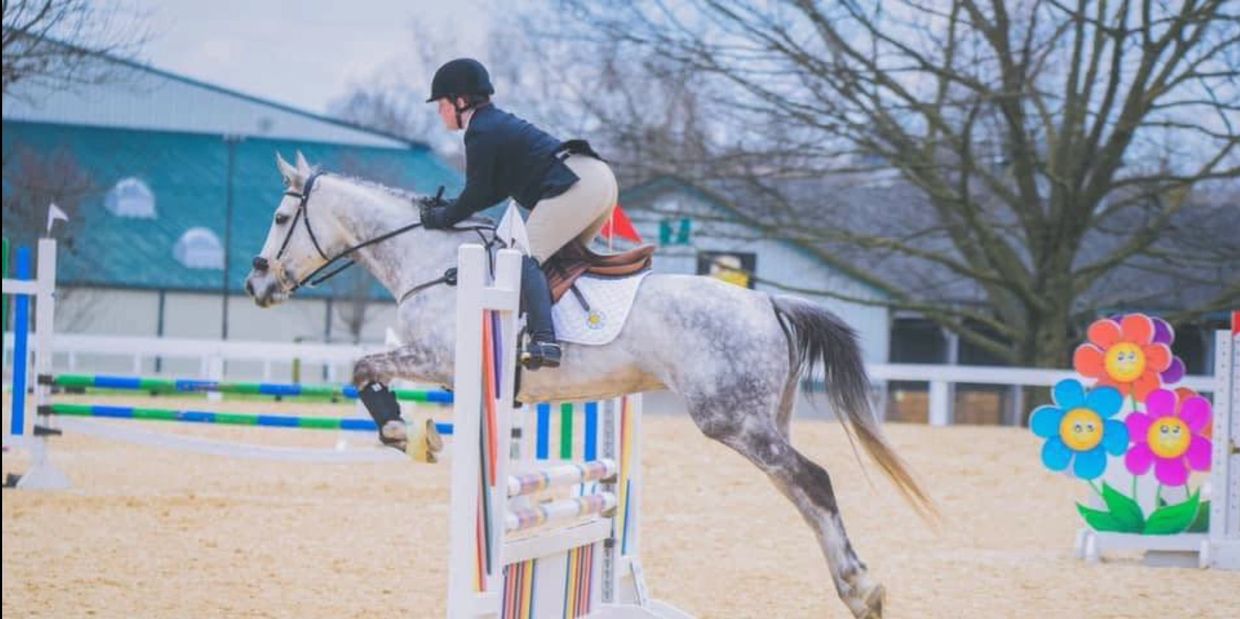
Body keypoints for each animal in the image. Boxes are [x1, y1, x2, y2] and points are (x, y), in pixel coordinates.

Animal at [244, 153, 934, 618]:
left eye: (280, 216)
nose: (257, 285)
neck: (432, 259)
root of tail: (769, 303)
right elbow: (366, 368)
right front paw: (413, 434)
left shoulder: (439, 360)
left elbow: (364, 367)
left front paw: (404, 432)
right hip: (761, 417)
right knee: (798, 489)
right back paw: (855, 586)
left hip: (732, 418)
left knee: (812, 479)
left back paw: (862, 588)